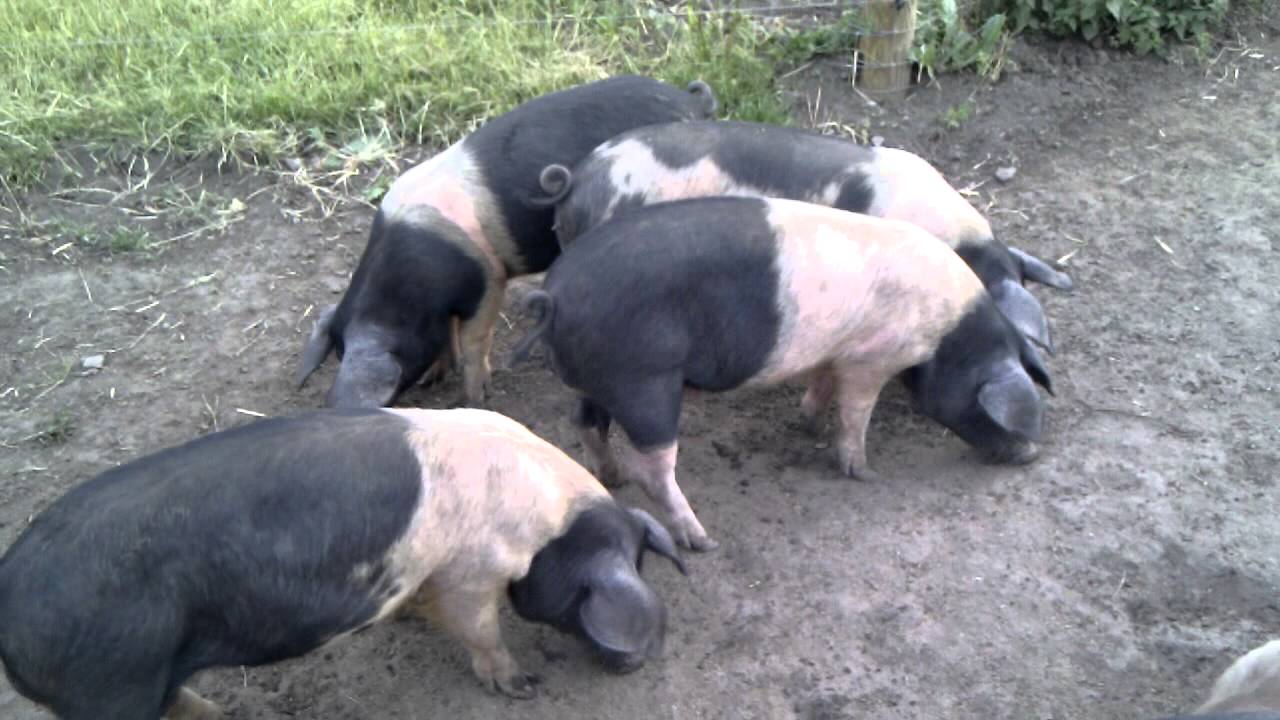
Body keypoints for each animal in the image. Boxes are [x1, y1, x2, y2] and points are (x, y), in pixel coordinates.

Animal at [0, 408, 685, 720]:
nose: (634, 667)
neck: (550, 525)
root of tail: (10, 629)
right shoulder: (471, 573)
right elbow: (482, 632)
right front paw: (522, 688)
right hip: (110, 685)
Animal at [295, 75, 717, 408]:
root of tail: (689, 101)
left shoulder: (488, 277)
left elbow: (474, 338)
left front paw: (473, 398)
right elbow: (447, 335)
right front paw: (435, 376)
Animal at [507, 196, 1052, 551]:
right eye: (989, 410)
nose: (1030, 455)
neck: (946, 334)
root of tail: (553, 296)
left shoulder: (836, 353)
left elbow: (822, 387)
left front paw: (808, 423)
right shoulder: (869, 359)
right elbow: (856, 415)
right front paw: (865, 473)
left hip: (600, 380)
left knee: (586, 424)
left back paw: (611, 476)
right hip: (644, 383)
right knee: (654, 469)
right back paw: (702, 541)